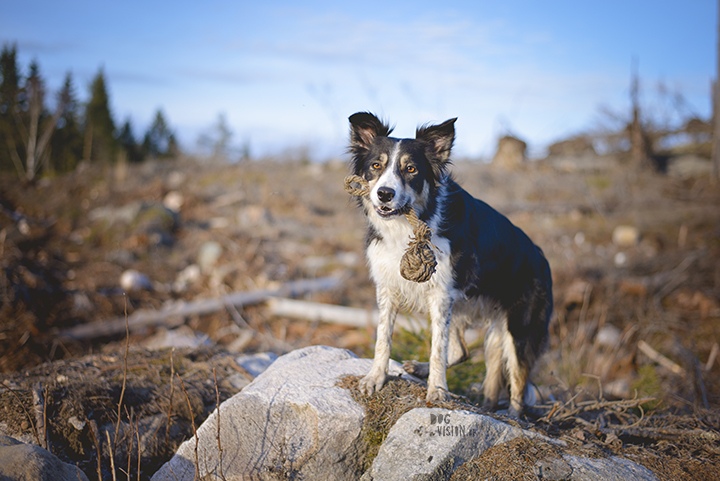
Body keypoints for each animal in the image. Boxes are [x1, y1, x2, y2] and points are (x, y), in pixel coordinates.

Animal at [352, 112, 556, 416]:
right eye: (376, 165)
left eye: (411, 169)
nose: (384, 194)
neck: (406, 225)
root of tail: (542, 258)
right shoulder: (388, 287)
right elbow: (383, 338)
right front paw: (376, 377)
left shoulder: (440, 293)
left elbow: (438, 347)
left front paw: (437, 390)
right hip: (465, 307)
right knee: (464, 351)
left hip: (519, 326)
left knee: (519, 381)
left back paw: (513, 416)